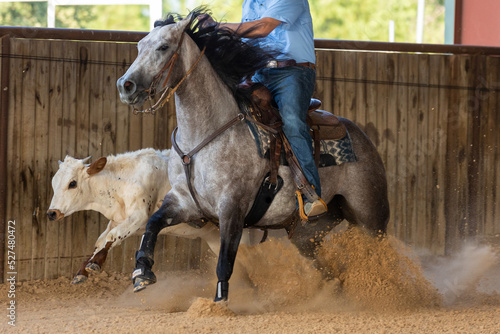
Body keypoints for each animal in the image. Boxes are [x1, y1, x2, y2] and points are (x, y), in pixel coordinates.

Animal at [46, 149, 228, 284]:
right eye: (54, 183)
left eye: (72, 183)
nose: (51, 213)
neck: (124, 183)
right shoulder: (118, 220)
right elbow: (100, 241)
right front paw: (83, 270)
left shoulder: (139, 217)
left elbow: (112, 236)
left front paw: (95, 263)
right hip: (214, 239)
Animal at [117, 11, 390, 302]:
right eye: (139, 46)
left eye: (163, 47)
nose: (125, 86)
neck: (207, 134)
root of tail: (362, 137)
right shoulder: (183, 201)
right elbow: (153, 224)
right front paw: (142, 273)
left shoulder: (233, 207)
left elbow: (225, 260)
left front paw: (218, 303)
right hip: (309, 231)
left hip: (370, 215)